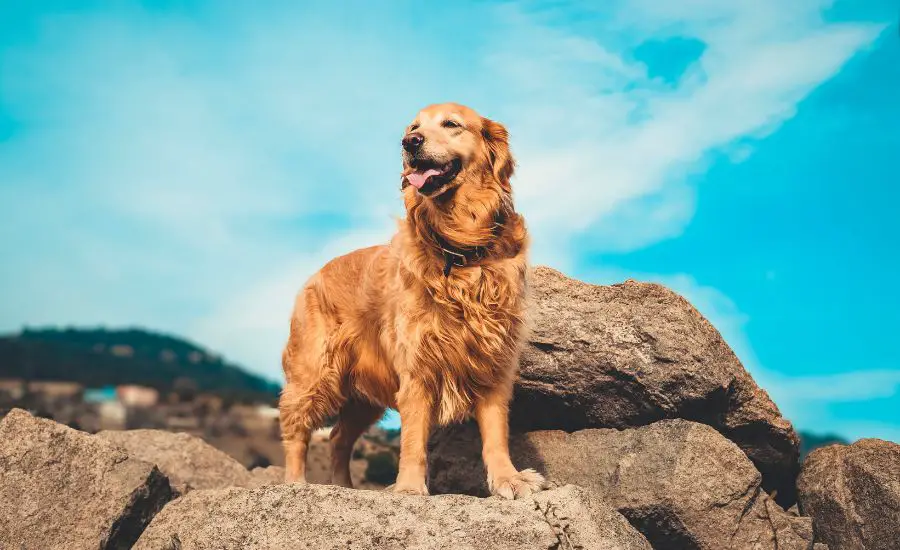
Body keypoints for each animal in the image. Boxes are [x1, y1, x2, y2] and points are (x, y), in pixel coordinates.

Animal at [278, 103, 544, 500]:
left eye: (451, 124)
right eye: (413, 127)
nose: (410, 142)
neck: (459, 249)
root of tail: (314, 275)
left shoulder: (493, 361)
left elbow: (496, 434)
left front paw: (508, 479)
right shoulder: (417, 366)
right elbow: (414, 439)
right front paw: (408, 488)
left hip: (362, 397)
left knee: (339, 437)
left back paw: (345, 487)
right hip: (315, 371)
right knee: (296, 428)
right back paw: (296, 483)